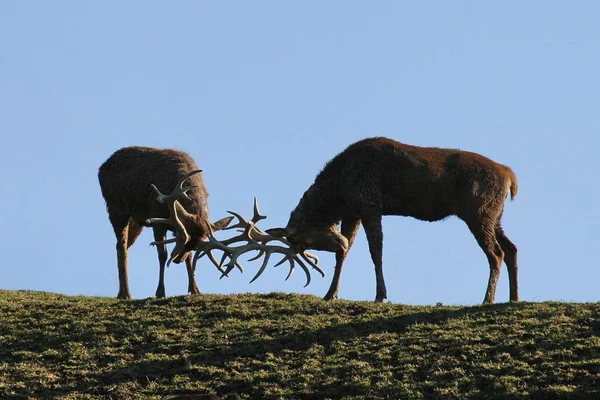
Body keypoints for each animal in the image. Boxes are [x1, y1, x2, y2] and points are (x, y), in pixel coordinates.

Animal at [98, 145, 232, 298]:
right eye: (182, 239)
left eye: (194, 246)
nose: (177, 260)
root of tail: (101, 169)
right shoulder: (157, 221)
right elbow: (162, 255)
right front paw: (160, 291)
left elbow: (189, 257)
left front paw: (195, 289)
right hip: (115, 209)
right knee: (121, 246)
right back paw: (124, 293)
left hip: (136, 221)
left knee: (124, 245)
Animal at [268, 138, 516, 304]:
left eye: (306, 241)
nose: (339, 242)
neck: (338, 193)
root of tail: (510, 177)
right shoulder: (352, 212)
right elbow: (344, 255)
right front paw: (330, 294)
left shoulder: (369, 203)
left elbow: (376, 250)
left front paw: (380, 294)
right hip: (495, 216)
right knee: (511, 248)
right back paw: (514, 297)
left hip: (478, 213)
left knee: (496, 253)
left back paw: (488, 299)